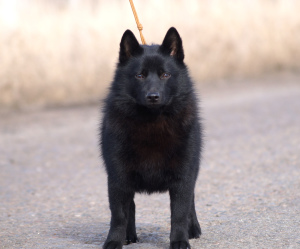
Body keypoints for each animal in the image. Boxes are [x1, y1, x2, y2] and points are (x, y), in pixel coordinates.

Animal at [100, 27, 202, 249]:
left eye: (165, 75)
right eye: (139, 75)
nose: (153, 96)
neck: (152, 123)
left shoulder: (183, 177)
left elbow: (179, 213)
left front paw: (180, 241)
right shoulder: (118, 177)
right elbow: (119, 215)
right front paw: (114, 241)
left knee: (191, 202)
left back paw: (193, 229)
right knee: (130, 206)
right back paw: (129, 235)